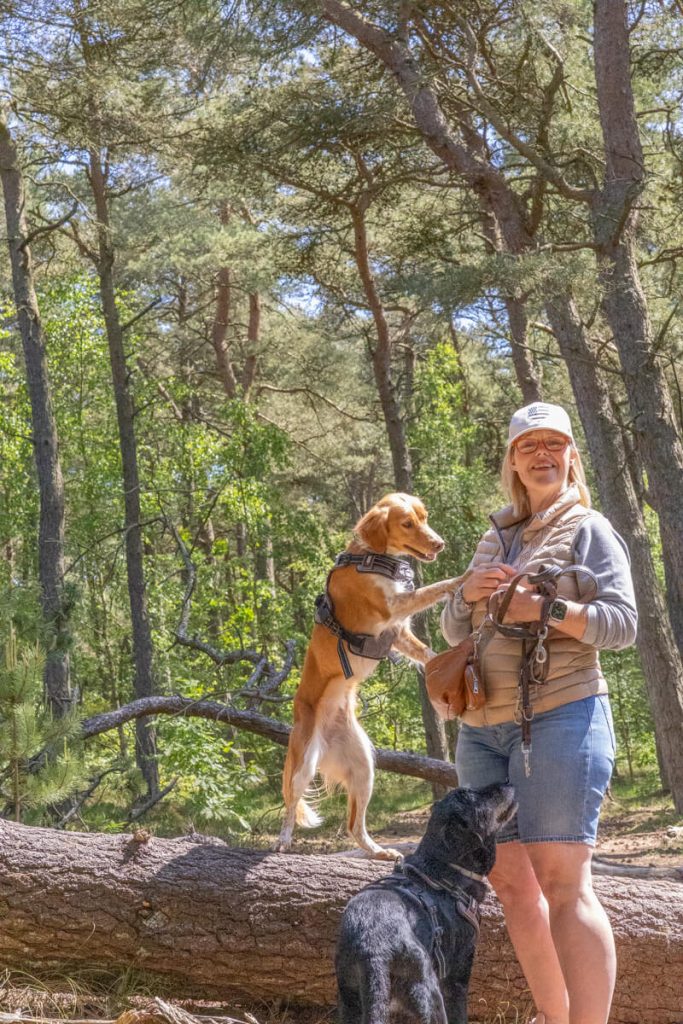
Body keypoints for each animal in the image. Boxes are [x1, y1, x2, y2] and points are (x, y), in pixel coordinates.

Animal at [274, 491, 462, 860]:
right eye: (407, 523)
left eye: (424, 518)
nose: (439, 543)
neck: (371, 558)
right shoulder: (394, 607)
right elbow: (439, 586)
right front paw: (468, 577)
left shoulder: (397, 632)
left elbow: (428, 655)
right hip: (303, 764)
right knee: (291, 805)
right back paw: (284, 840)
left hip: (364, 767)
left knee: (354, 826)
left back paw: (379, 851)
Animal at [333, 782, 516, 1015]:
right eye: (477, 796)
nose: (507, 783)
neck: (444, 867)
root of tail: (372, 951)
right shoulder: (457, 978)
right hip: (430, 994)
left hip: (351, 1002)